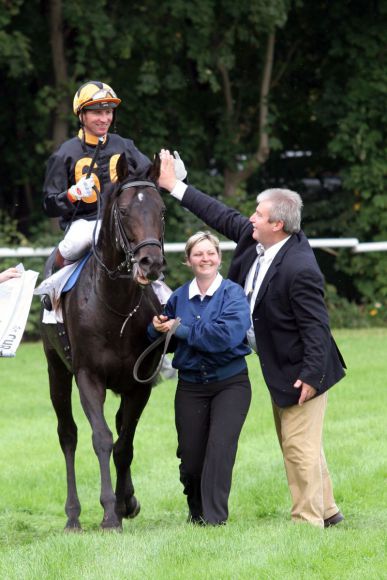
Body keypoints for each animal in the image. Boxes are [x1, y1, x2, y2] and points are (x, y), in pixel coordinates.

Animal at [41, 153, 167, 532]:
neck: (116, 306)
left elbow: (125, 443)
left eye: (161, 210)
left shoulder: (139, 384)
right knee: (67, 434)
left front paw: (126, 502)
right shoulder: (88, 377)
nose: (151, 262)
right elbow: (102, 438)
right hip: (56, 369)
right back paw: (73, 515)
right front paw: (110, 512)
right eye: (124, 212)